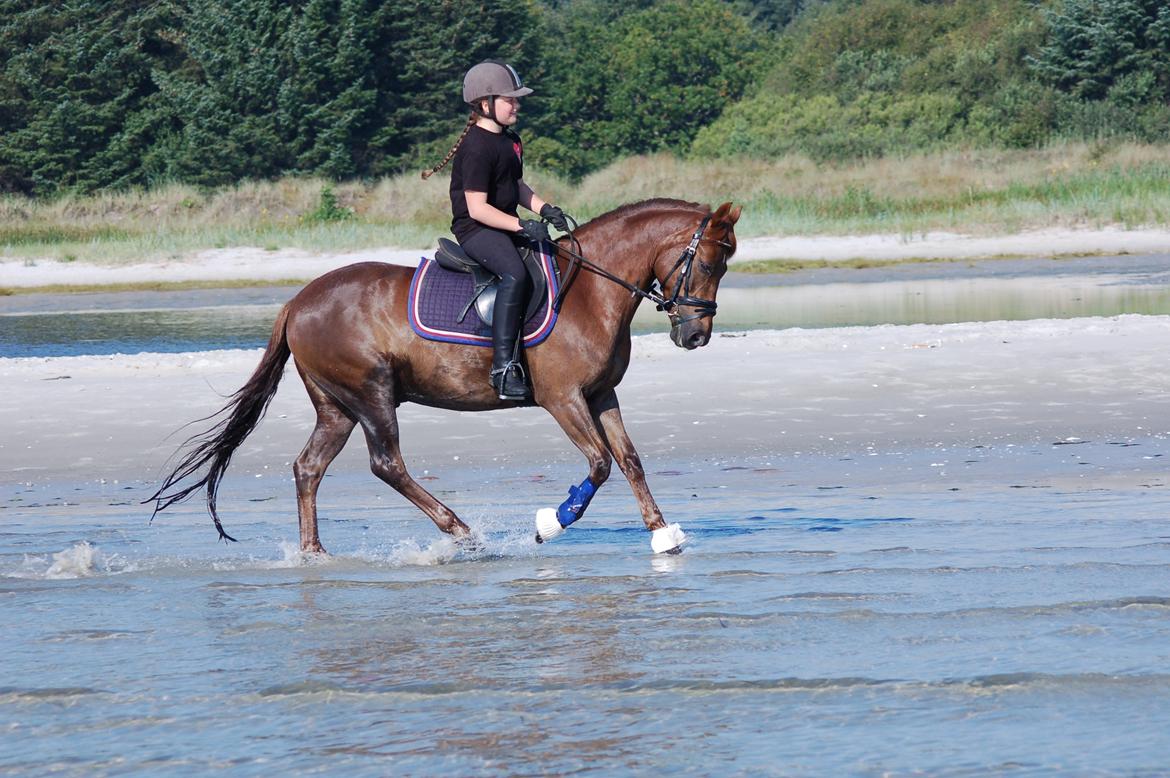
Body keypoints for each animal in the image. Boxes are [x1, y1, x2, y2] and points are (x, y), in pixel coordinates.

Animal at [148, 198, 741, 554]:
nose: (696, 336)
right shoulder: (563, 398)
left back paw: (314, 554)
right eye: (709, 263)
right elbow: (598, 464)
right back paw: (462, 532)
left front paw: (663, 535)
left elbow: (630, 460)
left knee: (308, 468)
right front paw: (550, 522)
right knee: (386, 464)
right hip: (372, 394)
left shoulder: (600, 394)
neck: (591, 293)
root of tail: (297, 301)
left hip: (337, 406)